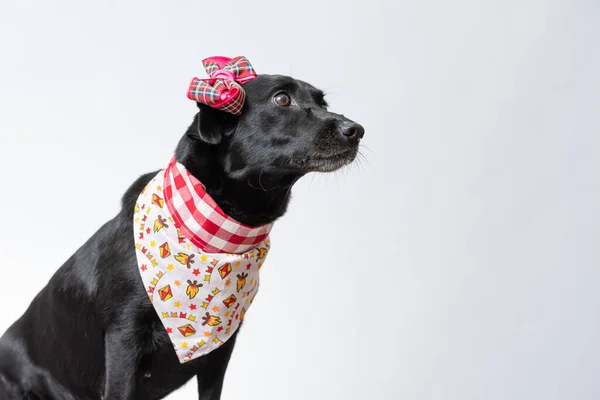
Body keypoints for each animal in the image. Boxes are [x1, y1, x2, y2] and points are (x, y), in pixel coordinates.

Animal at [0, 73, 366, 398]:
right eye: (281, 99)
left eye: (323, 102)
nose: (356, 130)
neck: (217, 234)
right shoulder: (123, 339)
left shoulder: (222, 348)